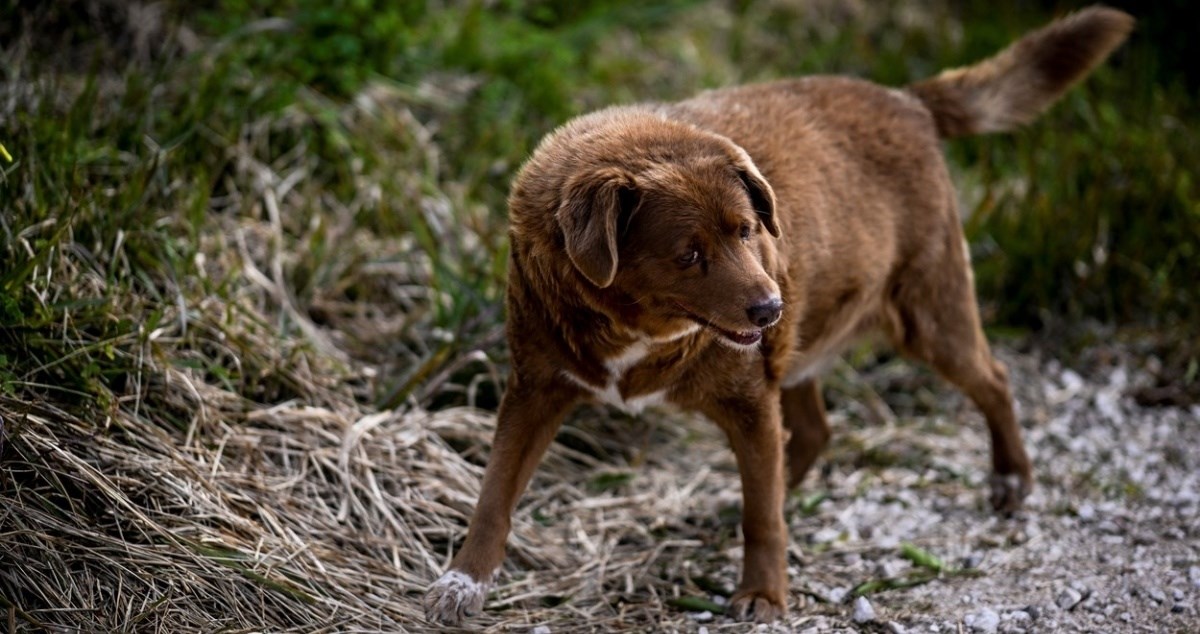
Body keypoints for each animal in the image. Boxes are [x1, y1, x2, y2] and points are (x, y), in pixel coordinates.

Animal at [424, 7, 1132, 624]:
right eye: (689, 254)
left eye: (746, 230)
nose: (770, 306)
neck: (637, 329)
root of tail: (907, 100)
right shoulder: (535, 387)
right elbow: (494, 492)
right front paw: (462, 580)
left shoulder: (747, 397)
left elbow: (761, 515)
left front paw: (763, 593)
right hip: (802, 345)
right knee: (811, 433)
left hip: (926, 313)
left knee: (992, 380)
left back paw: (1011, 478)